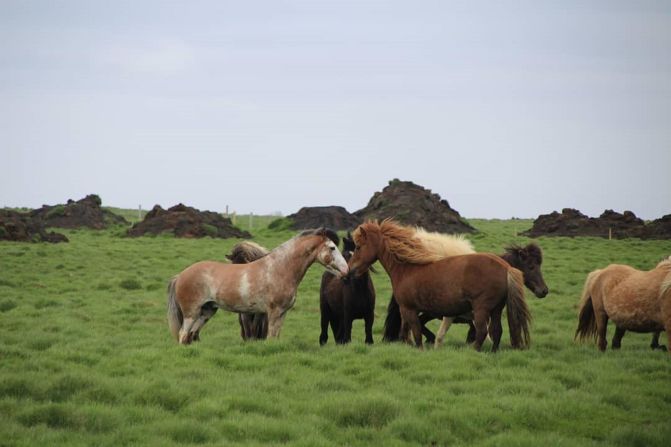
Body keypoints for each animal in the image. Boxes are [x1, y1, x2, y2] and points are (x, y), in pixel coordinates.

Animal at [167, 229, 350, 344]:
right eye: (332, 248)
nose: (346, 270)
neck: (279, 269)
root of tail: (180, 276)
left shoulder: (282, 313)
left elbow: (275, 337)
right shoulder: (273, 312)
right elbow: (270, 337)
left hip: (207, 311)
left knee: (190, 335)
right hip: (192, 313)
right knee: (183, 334)